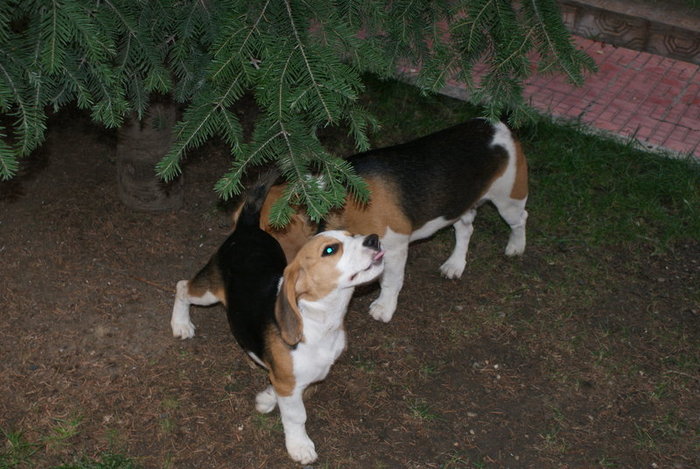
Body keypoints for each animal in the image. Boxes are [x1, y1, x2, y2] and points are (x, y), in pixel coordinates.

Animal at [172, 200, 386, 460]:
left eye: (352, 235)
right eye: (330, 250)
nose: (374, 239)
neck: (319, 321)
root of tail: (247, 226)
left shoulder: (301, 376)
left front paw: (266, 398)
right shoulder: (289, 383)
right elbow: (297, 415)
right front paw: (299, 445)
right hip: (208, 293)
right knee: (182, 287)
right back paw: (180, 323)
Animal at [260, 118, 528, 322]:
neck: (335, 197)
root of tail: (497, 125)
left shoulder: (393, 247)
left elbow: (390, 281)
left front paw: (383, 307)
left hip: (508, 200)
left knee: (520, 219)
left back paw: (516, 247)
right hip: (459, 204)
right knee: (465, 229)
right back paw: (454, 264)